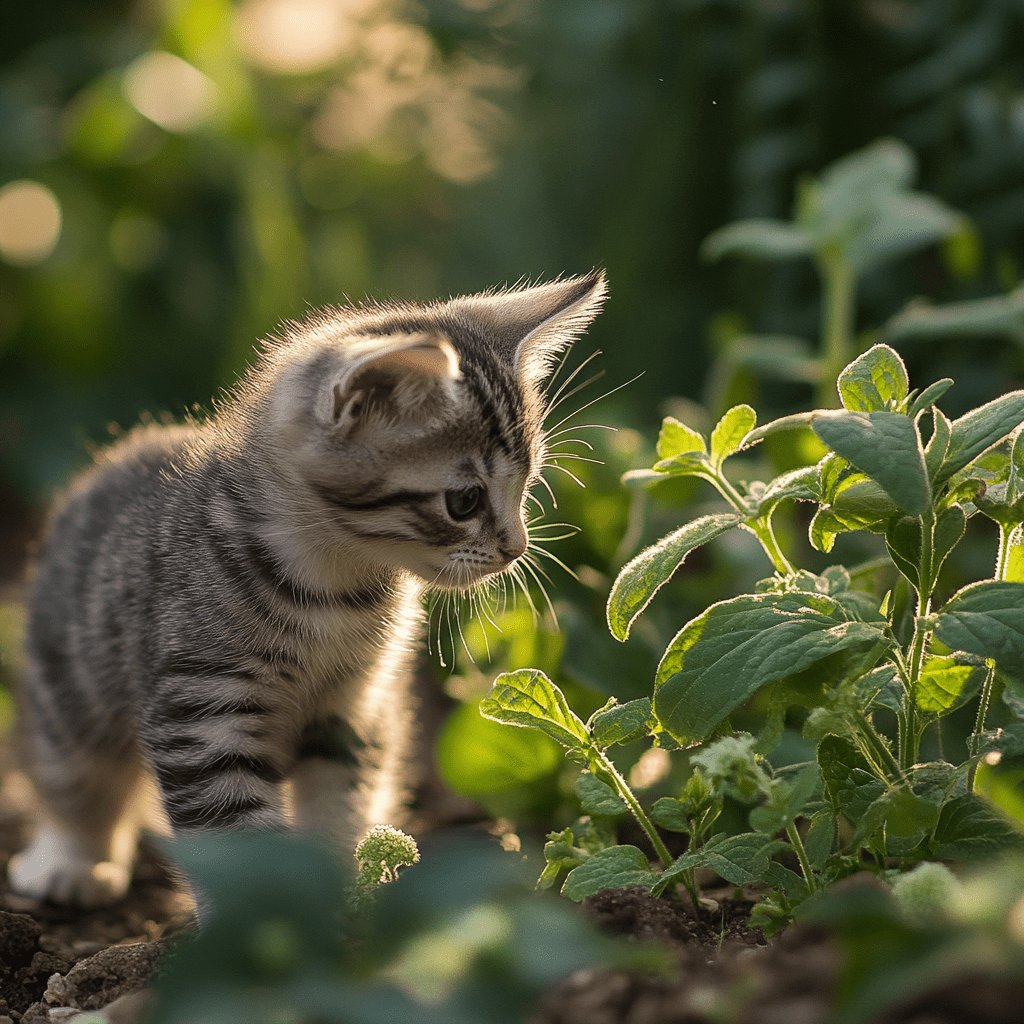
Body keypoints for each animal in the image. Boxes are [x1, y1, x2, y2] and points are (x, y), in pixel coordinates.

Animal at [8, 268, 606, 909]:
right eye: (464, 501)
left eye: (528, 484)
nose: (516, 548)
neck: (337, 588)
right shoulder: (203, 709)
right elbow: (234, 837)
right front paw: (274, 921)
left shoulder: (355, 706)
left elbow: (339, 803)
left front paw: (343, 891)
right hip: (69, 682)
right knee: (73, 776)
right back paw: (73, 860)